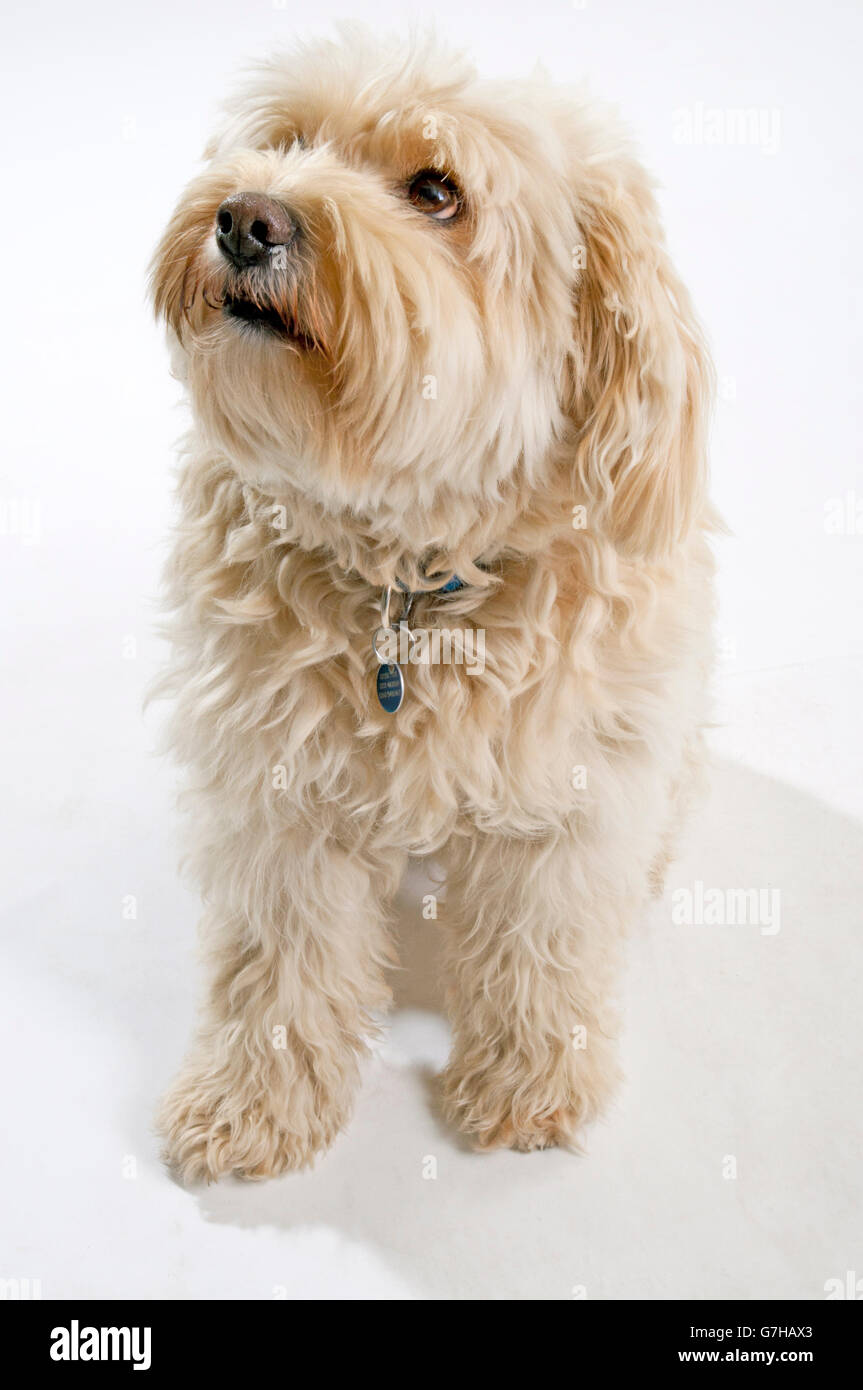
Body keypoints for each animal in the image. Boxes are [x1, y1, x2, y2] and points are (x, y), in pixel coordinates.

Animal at [150, 29, 711, 1184]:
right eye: (292, 141)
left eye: (436, 190)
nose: (246, 217)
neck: (411, 577)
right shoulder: (274, 789)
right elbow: (276, 958)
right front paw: (253, 1100)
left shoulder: (572, 794)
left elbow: (543, 940)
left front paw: (532, 1081)